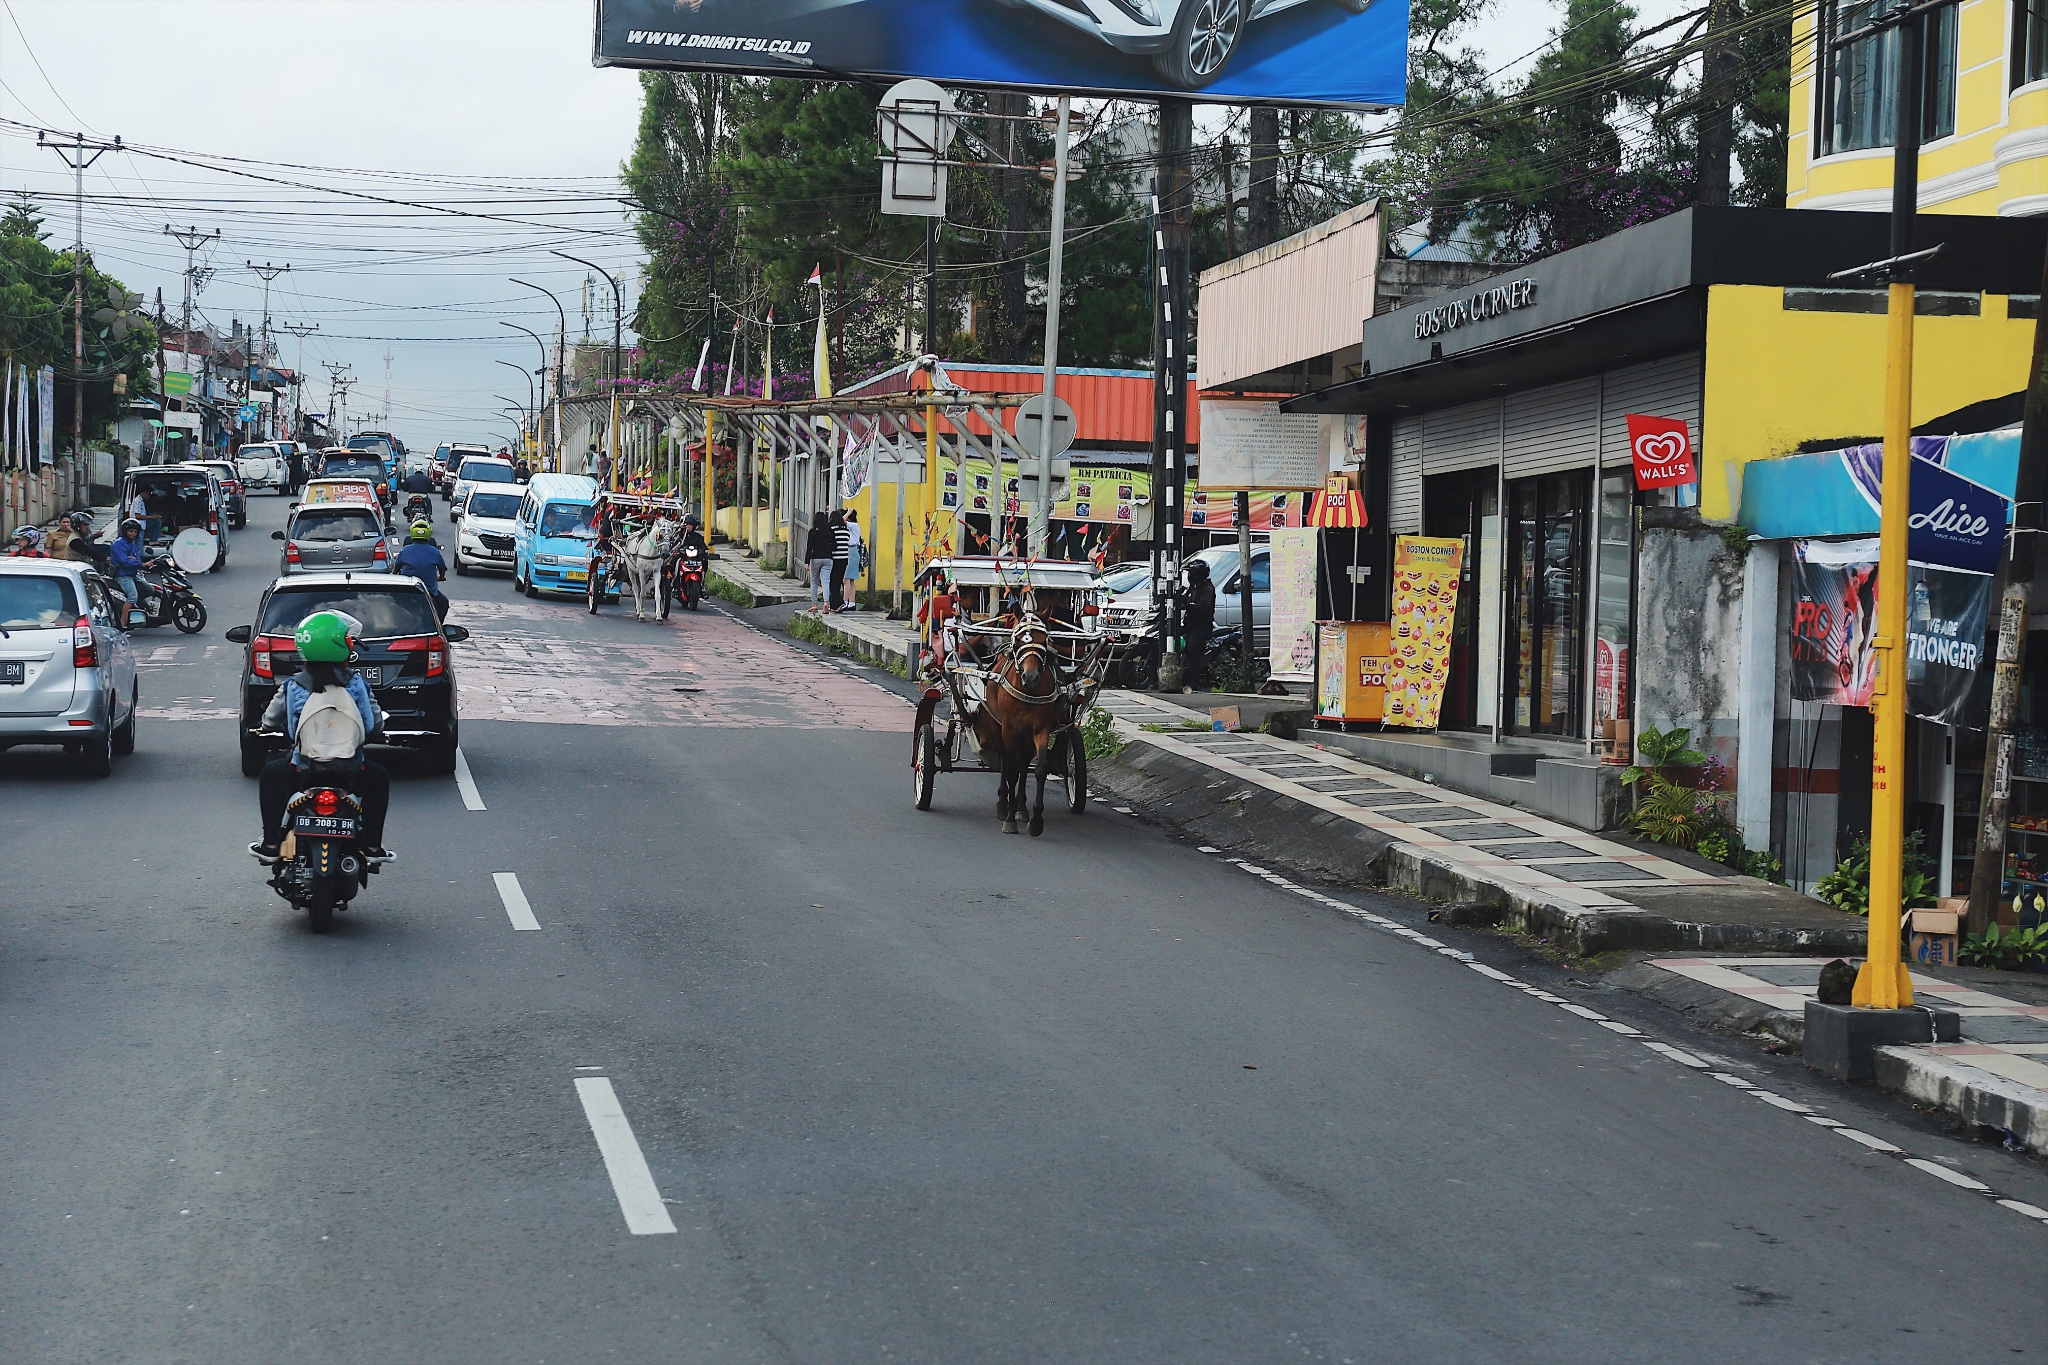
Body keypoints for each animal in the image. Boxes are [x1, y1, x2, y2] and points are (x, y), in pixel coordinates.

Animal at [978, 618, 1073, 834]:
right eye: (1017, 642)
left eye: (1044, 640)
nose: (1030, 677)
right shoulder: (1008, 729)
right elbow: (1011, 771)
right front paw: (1009, 818)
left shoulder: (1041, 730)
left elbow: (1039, 769)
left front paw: (1036, 819)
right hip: (1000, 728)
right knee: (1006, 761)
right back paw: (1003, 805)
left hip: (1027, 736)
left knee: (1023, 762)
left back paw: (1021, 807)